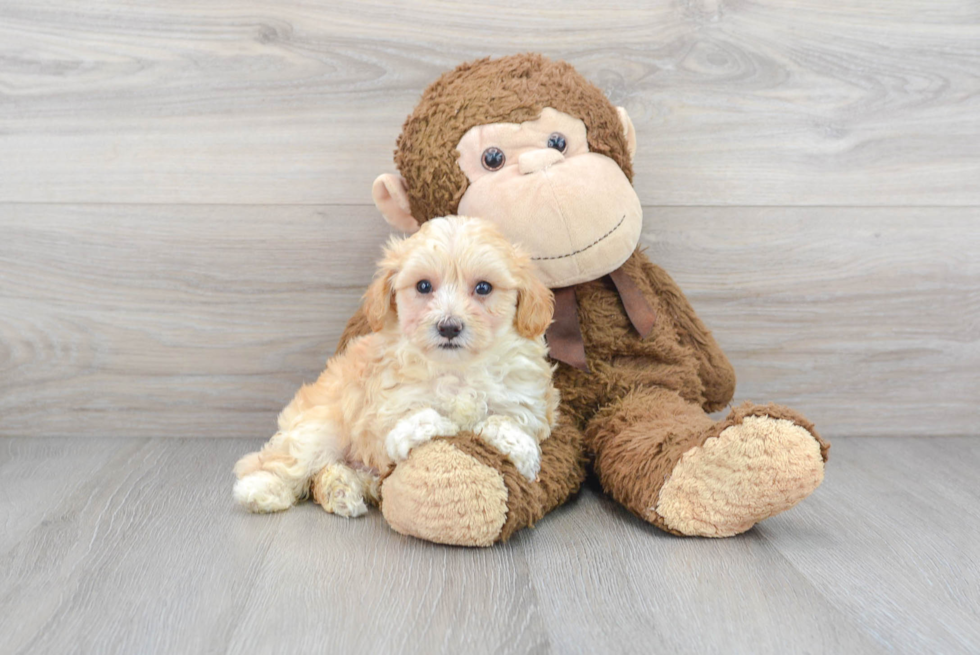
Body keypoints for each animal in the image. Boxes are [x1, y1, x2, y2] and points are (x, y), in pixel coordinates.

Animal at [232, 215, 560, 516]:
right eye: (424, 286)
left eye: (483, 288)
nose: (449, 327)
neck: (456, 369)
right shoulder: (385, 406)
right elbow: (414, 417)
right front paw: (438, 424)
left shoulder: (527, 400)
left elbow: (507, 419)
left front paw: (522, 451)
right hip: (321, 425)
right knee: (294, 463)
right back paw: (263, 489)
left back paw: (342, 490)